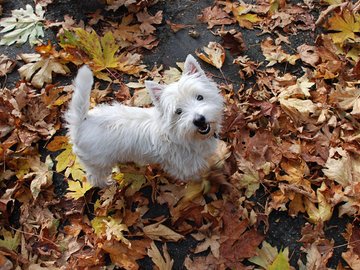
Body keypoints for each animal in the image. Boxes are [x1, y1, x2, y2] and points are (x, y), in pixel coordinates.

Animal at [64, 53, 222, 187]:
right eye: (178, 111)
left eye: (200, 97)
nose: (199, 120)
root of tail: (82, 122)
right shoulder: (185, 167)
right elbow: (194, 177)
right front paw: (202, 182)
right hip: (99, 163)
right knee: (94, 178)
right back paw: (107, 184)